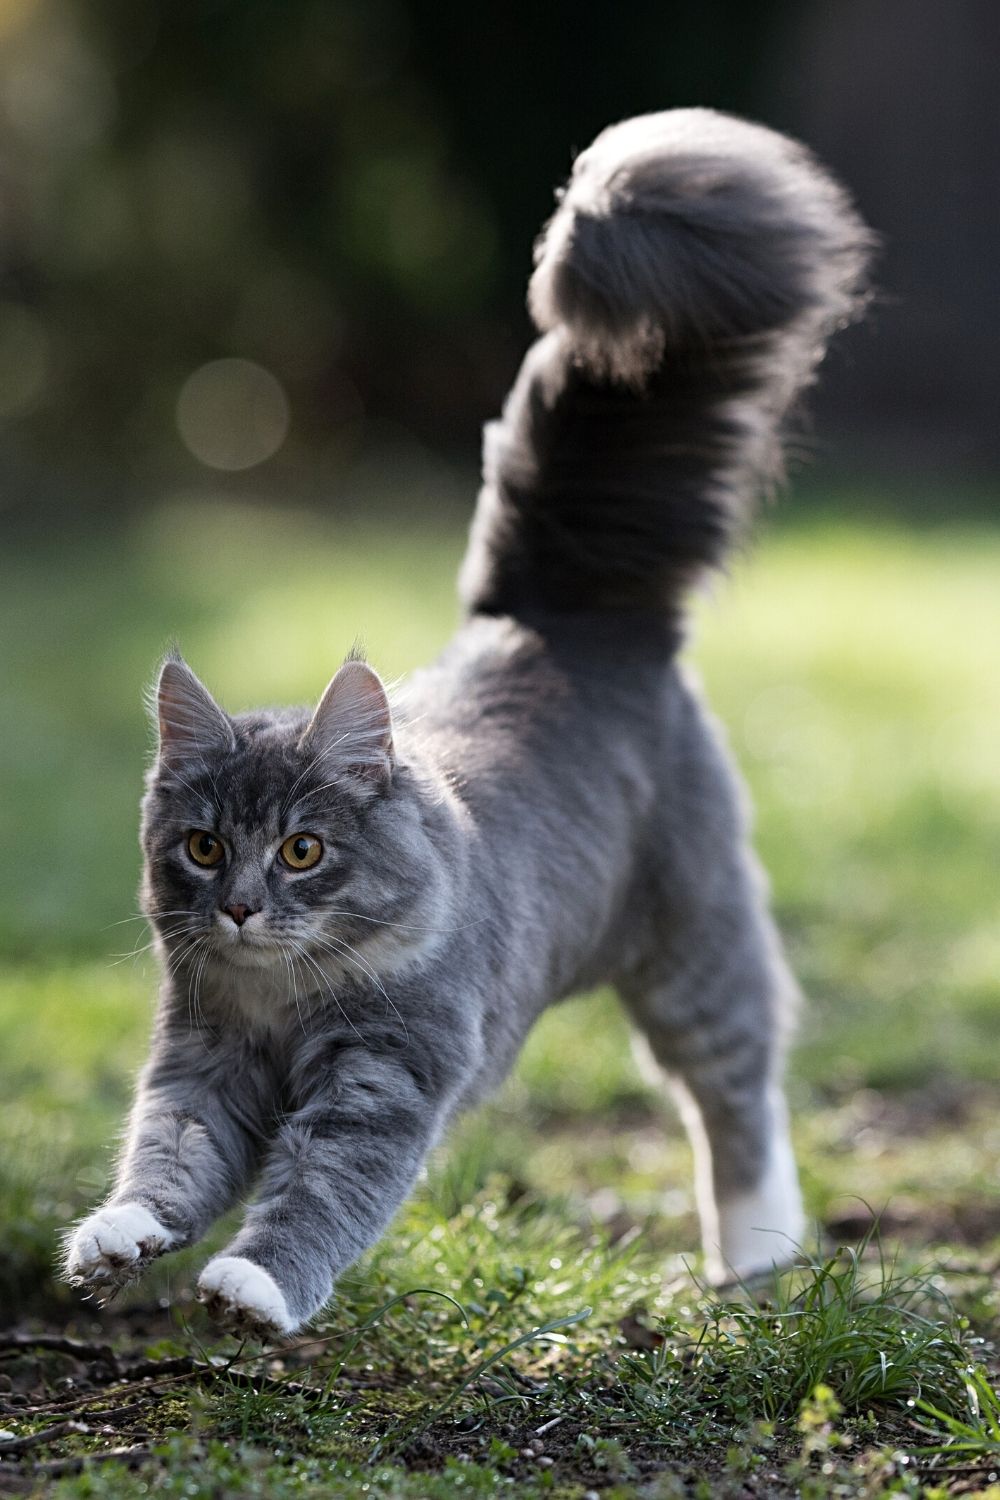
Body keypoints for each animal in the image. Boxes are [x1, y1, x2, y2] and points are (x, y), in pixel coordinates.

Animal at [64, 111, 875, 1344]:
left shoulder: (382, 1079)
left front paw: (255, 1287)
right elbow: (170, 1159)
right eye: (202, 848)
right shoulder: (201, 1062)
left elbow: (317, 1194)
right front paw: (119, 1238)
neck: (283, 998)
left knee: (738, 1100)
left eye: (302, 849)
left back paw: (754, 1263)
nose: (241, 908)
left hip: (694, 948)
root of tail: (556, 616)